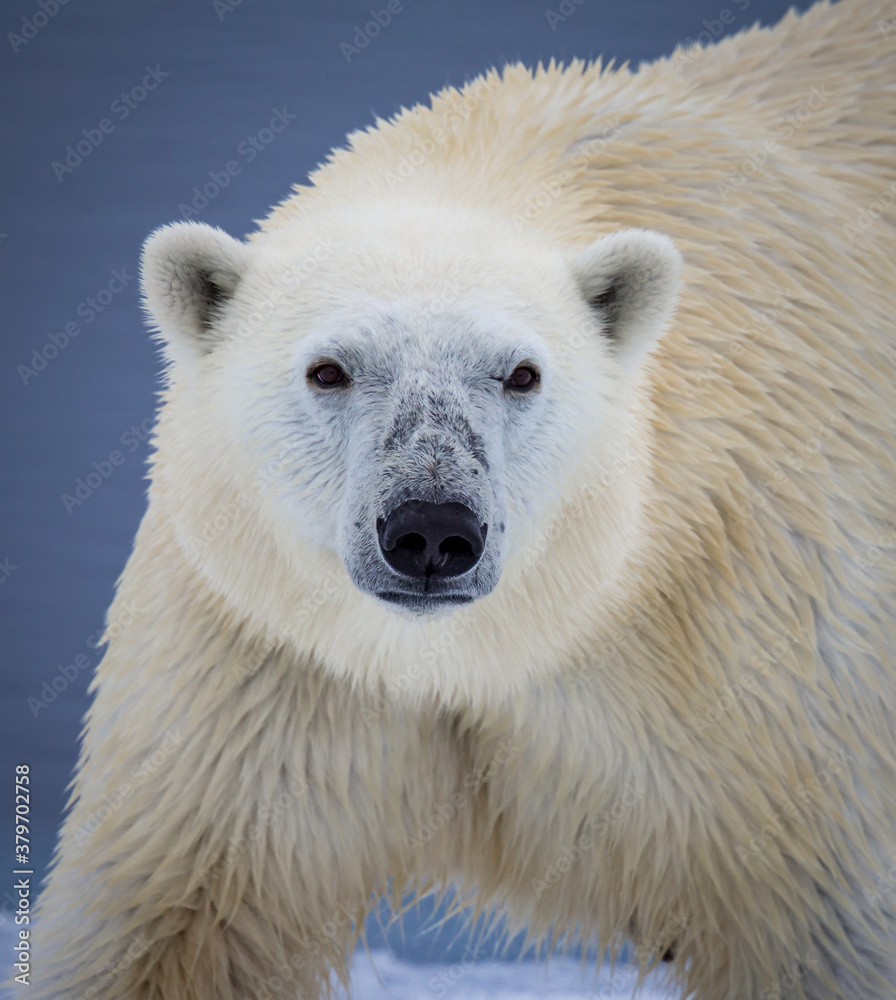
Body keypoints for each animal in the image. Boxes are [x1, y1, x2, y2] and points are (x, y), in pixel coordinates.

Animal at [28, 0, 896, 997]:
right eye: (329, 369)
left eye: (521, 373)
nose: (433, 533)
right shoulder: (266, 659)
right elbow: (169, 915)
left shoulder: (743, 656)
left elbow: (815, 922)